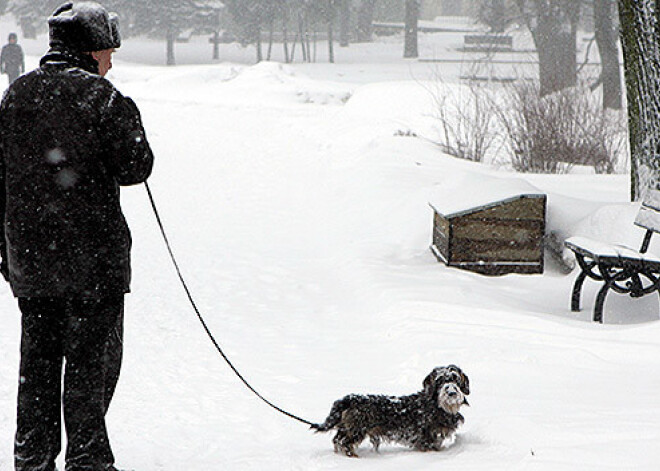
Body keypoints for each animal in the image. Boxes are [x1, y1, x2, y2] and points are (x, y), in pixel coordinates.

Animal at [312, 366, 466, 458]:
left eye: (455, 379)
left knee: (337, 440)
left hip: (346, 427)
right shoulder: (427, 438)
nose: (451, 393)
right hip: (356, 430)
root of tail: (348, 399)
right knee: (345, 443)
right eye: (440, 381)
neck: (436, 405)